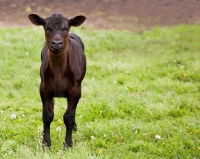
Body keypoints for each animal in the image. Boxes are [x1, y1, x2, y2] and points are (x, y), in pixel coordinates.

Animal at [27, 12, 86, 148]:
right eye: (47, 28)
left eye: (65, 28)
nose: (57, 43)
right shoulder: (44, 88)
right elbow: (47, 115)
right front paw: (45, 143)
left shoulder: (76, 89)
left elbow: (69, 117)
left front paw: (68, 144)